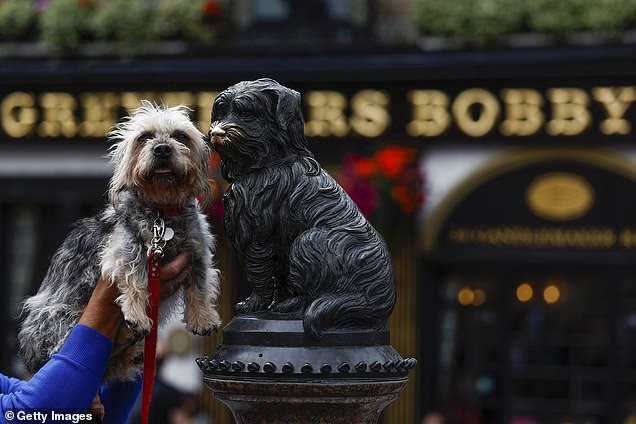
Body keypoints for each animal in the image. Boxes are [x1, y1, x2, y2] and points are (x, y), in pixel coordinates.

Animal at [18, 102, 221, 380]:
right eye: (144, 137)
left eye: (181, 136)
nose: (162, 148)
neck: (162, 214)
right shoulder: (125, 250)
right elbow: (136, 280)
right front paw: (135, 315)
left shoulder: (198, 251)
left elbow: (200, 285)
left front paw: (203, 318)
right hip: (60, 319)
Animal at [209, 78, 396, 340]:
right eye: (221, 111)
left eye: (246, 113)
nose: (216, 132)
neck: (271, 161)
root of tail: (377, 300)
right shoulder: (279, 244)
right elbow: (281, 279)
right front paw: (273, 303)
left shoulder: (257, 235)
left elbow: (258, 274)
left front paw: (254, 303)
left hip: (308, 241)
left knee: (312, 296)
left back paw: (289, 307)